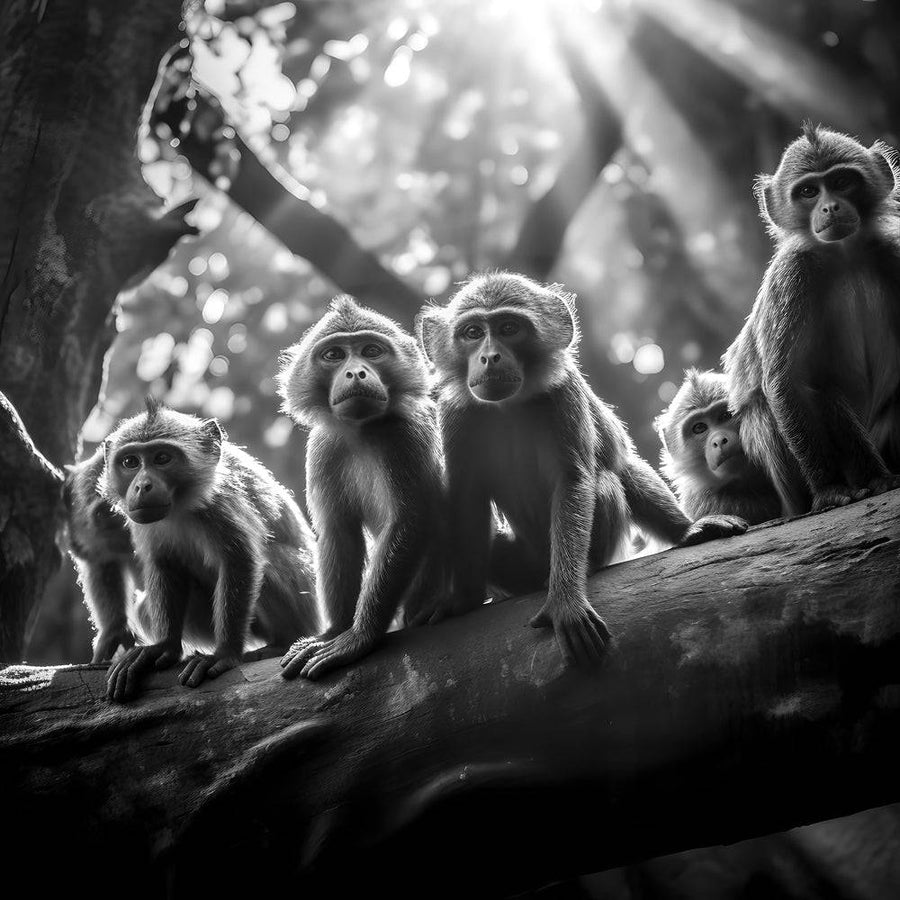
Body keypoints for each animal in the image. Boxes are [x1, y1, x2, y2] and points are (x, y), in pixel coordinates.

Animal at [98, 400, 318, 701]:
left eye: (162, 458)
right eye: (130, 462)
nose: (143, 486)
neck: (182, 506)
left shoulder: (222, 504)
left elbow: (240, 561)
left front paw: (224, 654)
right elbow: (165, 564)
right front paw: (164, 647)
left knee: (269, 562)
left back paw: (282, 643)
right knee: (144, 607)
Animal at [276, 296, 445, 681]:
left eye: (371, 351)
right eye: (334, 355)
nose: (356, 372)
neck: (362, 432)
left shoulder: (404, 437)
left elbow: (411, 522)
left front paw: (360, 636)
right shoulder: (323, 448)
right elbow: (339, 531)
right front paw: (335, 630)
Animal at [417, 272, 747, 668]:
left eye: (509, 328)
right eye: (472, 333)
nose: (489, 356)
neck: (509, 406)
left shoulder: (564, 391)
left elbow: (577, 480)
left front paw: (565, 601)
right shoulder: (457, 412)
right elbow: (467, 497)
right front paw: (461, 601)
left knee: (605, 480)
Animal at [724, 123, 900, 516]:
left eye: (842, 182)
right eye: (808, 191)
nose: (830, 207)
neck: (847, 256)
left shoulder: (894, 251)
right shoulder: (794, 275)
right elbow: (786, 382)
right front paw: (830, 489)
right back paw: (871, 478)